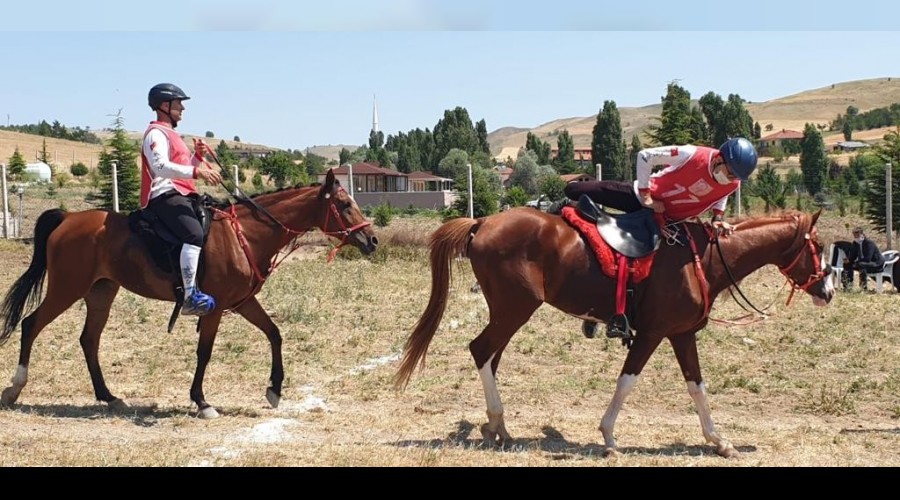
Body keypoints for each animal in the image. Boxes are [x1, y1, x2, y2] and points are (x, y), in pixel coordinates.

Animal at [0, 168, 380, 418]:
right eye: (344, 204)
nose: (373, 239)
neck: (245, 234)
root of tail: (67, 218)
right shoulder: (215, 307)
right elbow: (205, 353)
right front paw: (201, 401)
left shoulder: (243, 302)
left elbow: (274, 333)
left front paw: (274, 389)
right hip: (66, 288)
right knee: (31, 325)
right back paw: (15, 388)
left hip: (100, 293)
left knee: (88, 340)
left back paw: (109, 397)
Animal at [398, 206, 832, 458]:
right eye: (818, 247)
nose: (828, 291)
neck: (701, 259)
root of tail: (482, 221)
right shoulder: (653, 333)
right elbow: (627, 381)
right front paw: (608, 436)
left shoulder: (682, 334)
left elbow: (697, 387)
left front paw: (719, 440)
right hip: (515, 308)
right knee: (481, 350)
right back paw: (497, 422)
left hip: (507, 312)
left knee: (490, 356)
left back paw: (496, 427)